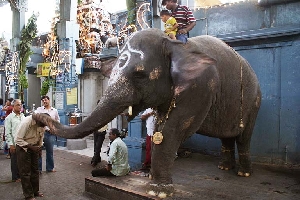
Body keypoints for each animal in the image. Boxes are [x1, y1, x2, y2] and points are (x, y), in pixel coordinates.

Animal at [32, 28, 262, 198]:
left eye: (140, 74)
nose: (36, 115)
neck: (173, 44)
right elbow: (161, 127)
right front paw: (153, 181)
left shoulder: (200, 88)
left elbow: (173, 130)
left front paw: (158, 191)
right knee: (227, 136)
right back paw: (224, 168)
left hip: (254, 101)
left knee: (244, 136)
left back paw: (243, 172)